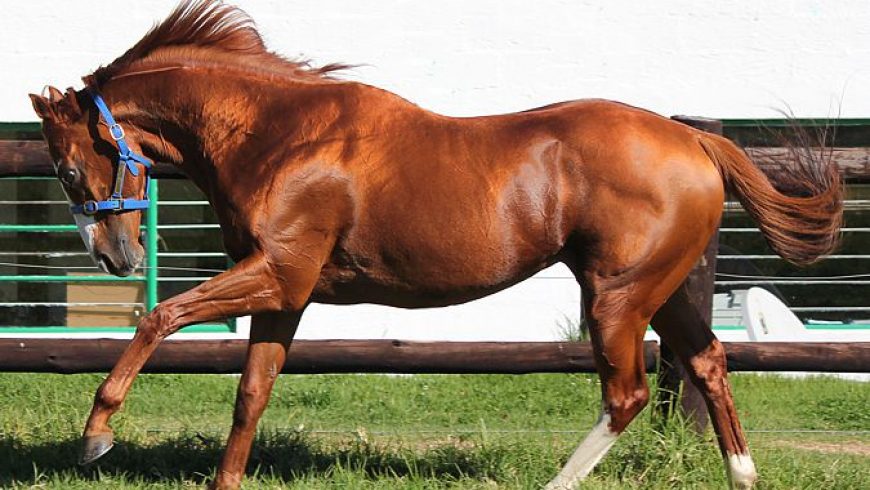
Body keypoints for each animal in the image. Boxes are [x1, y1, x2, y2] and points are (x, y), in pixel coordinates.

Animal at [29, 1, 842, 489]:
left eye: (67, 168)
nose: (115, 258)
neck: (278, 136)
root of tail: (697, 141)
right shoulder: (286, 292)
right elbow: (251, 393)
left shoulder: (278, 274)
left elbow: (158, 318)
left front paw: (96, 436)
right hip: (661, 290)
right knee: (708, 363)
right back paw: (743, 475)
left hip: (616, 295)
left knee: (629, 393)